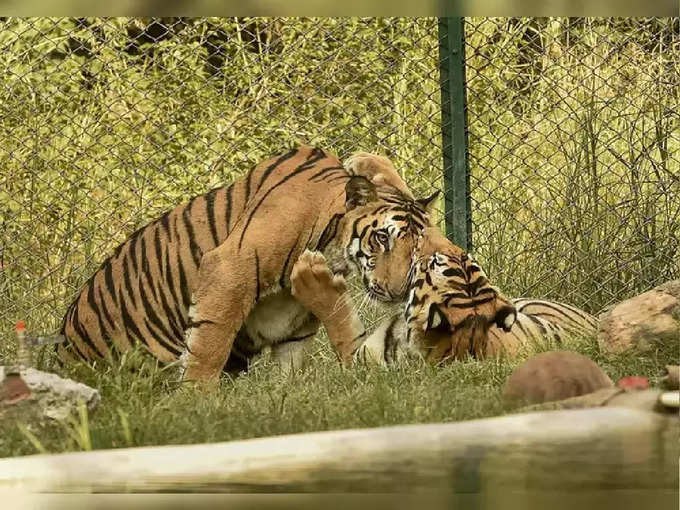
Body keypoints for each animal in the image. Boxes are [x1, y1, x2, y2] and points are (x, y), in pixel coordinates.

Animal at [58, 145, 436, 384]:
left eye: (415, 248)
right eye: (382, 238)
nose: (398, 291)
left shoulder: (294, 329)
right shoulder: (228, 269)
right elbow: (209, 345)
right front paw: (197, 400)